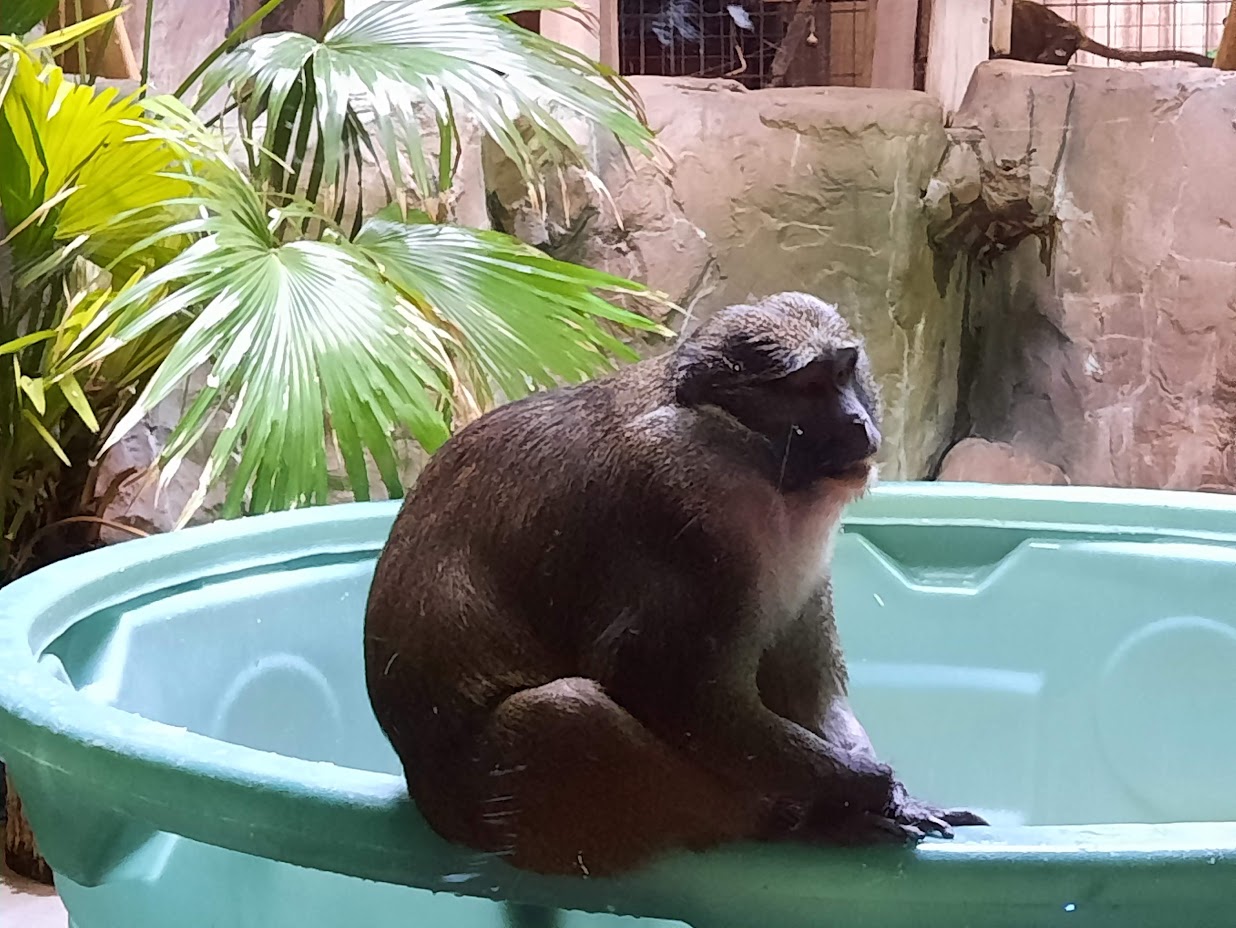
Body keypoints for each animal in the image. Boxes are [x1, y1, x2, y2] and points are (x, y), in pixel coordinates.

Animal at [364, 292, 987, 877]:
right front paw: (868, 789)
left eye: (843, 373)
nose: (859, 422)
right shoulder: (673, 491)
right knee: (565, 714)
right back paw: (797, 820)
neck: (754, 456)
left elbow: (806, 686)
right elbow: (662, 684)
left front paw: (889, 793)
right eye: (810, 386)